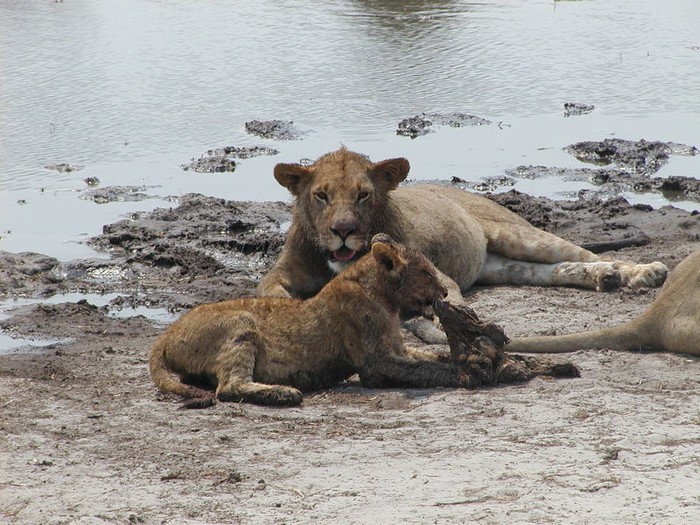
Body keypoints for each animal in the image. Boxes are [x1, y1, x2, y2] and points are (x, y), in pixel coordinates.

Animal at [150, 233, 484, 406]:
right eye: (426, 273)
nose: (444, 291)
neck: (385, 299)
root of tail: (164, 336)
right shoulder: (375, 365)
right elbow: (424, 369)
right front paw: (467, 373)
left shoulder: (397, 348)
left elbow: (428, 357)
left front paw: (458, 358)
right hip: (240, 323)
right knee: (229, 386)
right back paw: (283, 393)